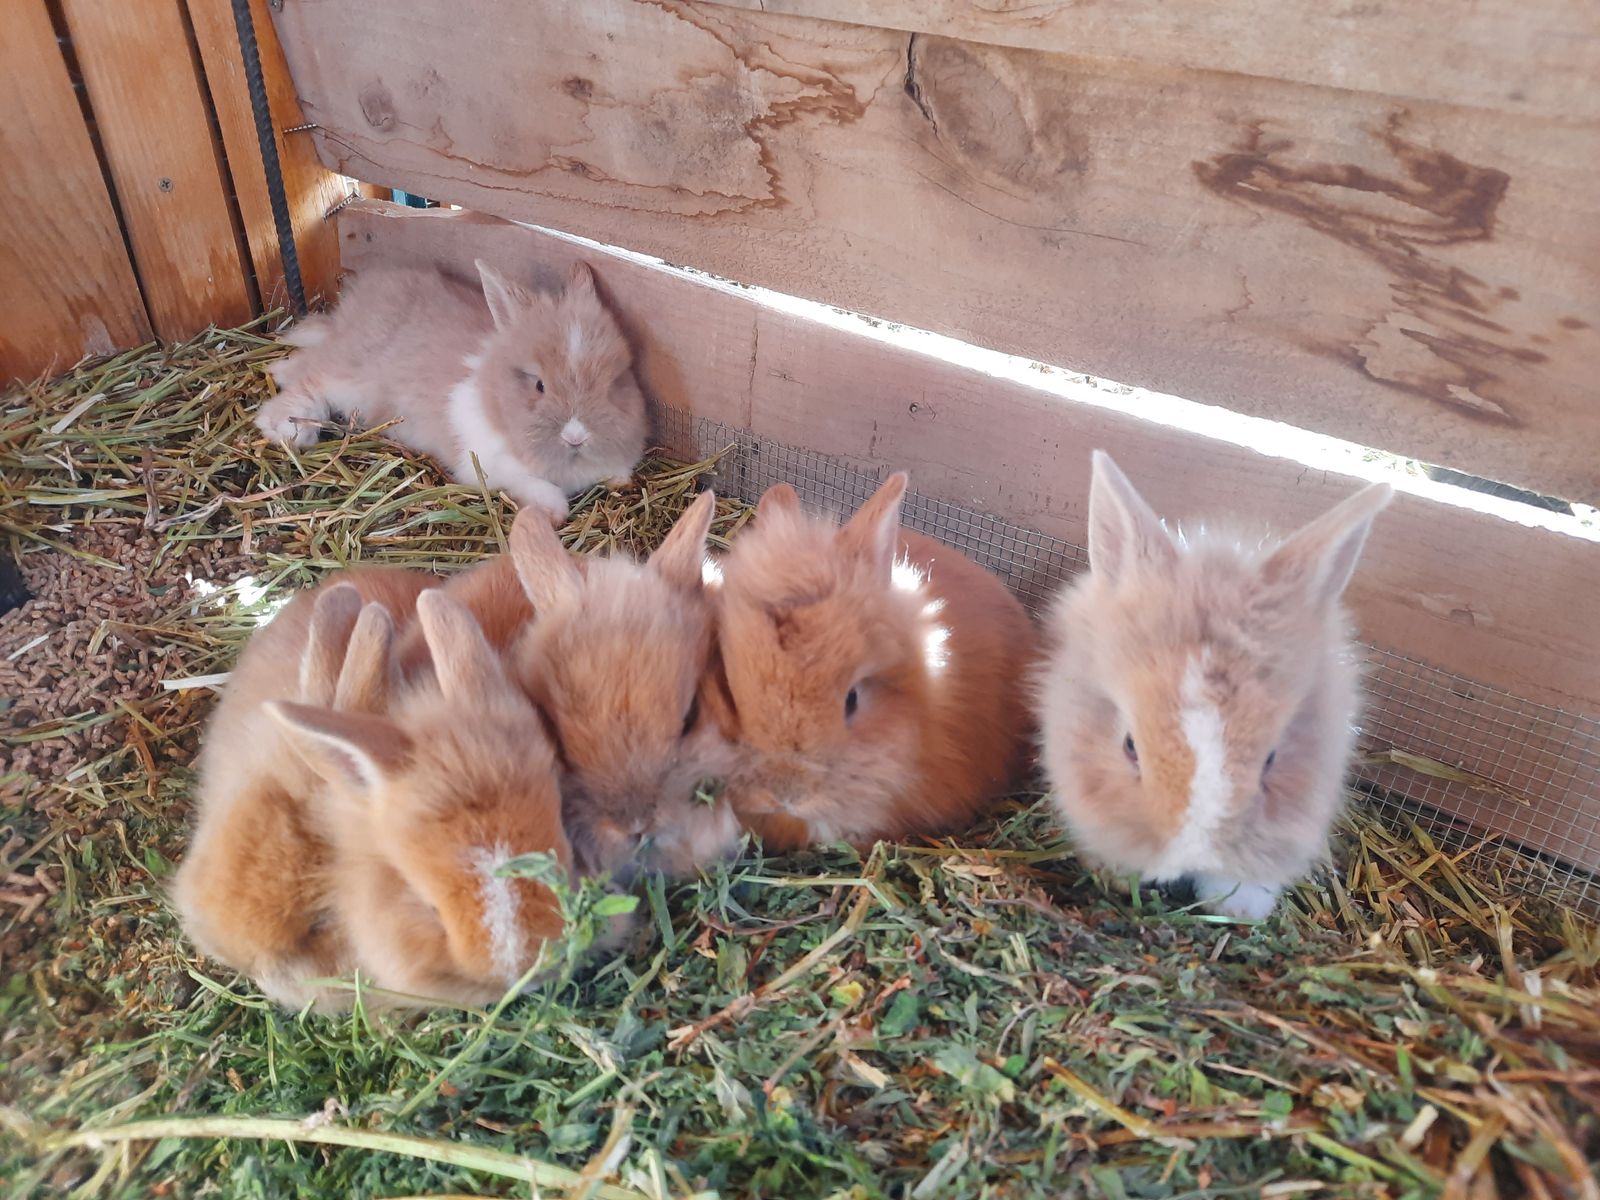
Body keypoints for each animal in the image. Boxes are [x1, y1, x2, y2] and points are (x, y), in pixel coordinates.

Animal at [257, 260, 649, 524]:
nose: (576, 436)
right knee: (309, 376)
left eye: (615, 381)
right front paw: (549, 513)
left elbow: (617, 473)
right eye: (539, 385)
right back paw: (284, 427)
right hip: (351, 375)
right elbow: (548, 496)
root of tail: (346, 317)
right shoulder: (489, 467)